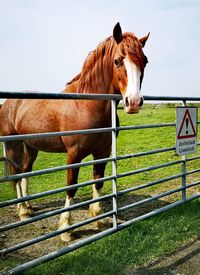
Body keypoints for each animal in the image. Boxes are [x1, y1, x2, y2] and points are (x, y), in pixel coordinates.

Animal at [0, 24, 148, 244]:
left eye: (144, 61)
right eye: (117, 60)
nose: (134, 102)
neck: (85, 103)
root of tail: (9, 102)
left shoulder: (103, 152)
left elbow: (98, 181)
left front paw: (99, 219)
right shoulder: (74, 154)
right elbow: (71, 186)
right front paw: (66, 228)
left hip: (31, 146)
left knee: (26, 170)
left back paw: (28, 207)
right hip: (12, 145)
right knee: (16, 175)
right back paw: (22, 210)